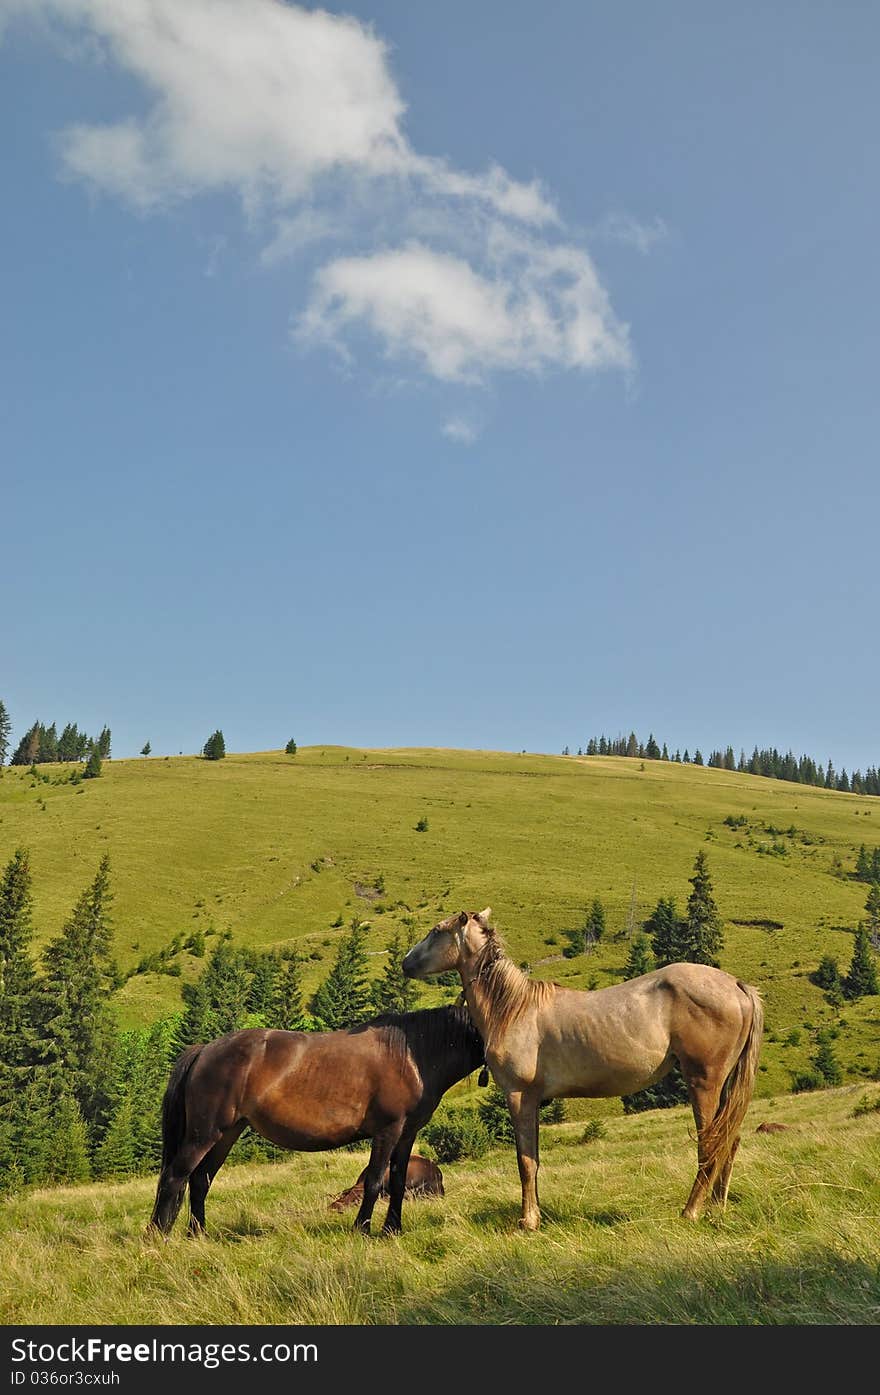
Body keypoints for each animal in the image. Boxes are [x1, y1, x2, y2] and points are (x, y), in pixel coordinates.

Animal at [149, 1004, 485, 1244]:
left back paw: (198, 1236)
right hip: (204, 1133)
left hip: (227, 1134)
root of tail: (204, 1050)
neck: (411, 1054)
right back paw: (157, 1237)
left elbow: (399, 1182)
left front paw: (393, 1230)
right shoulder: (387, 1132)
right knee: (174, 1177)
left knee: (200, 1180)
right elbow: (375, 1181)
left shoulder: (407, 1135)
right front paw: (362, 1230)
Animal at [404, 915, 764, 1233]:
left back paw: (691, 1211)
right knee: (728, 1141)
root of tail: (736, 986)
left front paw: (528, 1221)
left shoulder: (519, 1095)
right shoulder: (534, 1100)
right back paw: (716, 1209)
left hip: (704, 1082)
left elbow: (525, 1162)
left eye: (436, 930)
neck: (513, 1009)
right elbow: (534, 1159)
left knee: (711, 1144)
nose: (406, 963)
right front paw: (536, 1216)